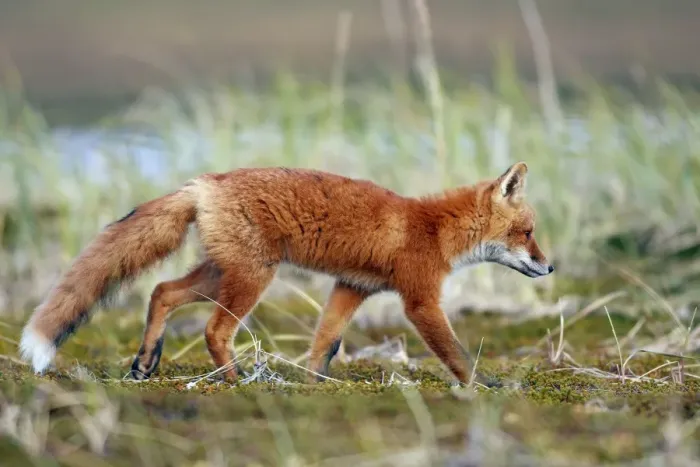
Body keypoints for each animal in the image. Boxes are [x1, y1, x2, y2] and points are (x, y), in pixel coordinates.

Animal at [19, 162, 553, 386]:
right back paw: (236, 379)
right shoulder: (420, 300)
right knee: (214, 331)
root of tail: (204, 182)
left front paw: (313, 382)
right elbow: (457, 353)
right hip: (252, 278)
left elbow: (326, 342)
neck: (434, 228)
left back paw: (145, 362)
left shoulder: (352, 287)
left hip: (222, 273)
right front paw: (485, 388)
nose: (550, 266)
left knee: (162, 291)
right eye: (527, 232)